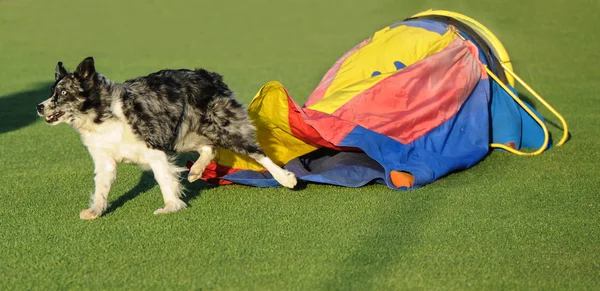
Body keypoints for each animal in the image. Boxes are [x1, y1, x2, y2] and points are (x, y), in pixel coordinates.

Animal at [37, 57, 298, 220]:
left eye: (63, 93)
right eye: (51, 92)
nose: (39, 107)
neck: (100, 114)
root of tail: (210, 76)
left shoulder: (154, 149)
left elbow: (164, 180)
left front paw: (171, 207)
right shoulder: (105, 160)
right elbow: (101, 188)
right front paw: (95, 211)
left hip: (222, 127)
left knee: (257, 152)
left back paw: (285, 178)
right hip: (184, 134)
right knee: (209, 147)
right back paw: (196, 171)